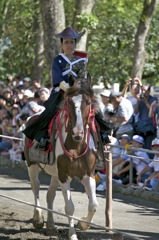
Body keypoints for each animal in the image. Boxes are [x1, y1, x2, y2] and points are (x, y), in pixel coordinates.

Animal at [24, 73, 99, 240]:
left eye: (88, 102)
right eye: (69, 101)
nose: (78, 133)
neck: (76, 146)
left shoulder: (88, 174)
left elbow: (93, 205)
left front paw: (82, 224)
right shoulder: (64, 175)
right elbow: (69, 207)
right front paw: (72, 235)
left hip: (54, 174)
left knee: (49, 195)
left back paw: (51, 226)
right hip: (32, 165)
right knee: (36, 187)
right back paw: (38, 219)